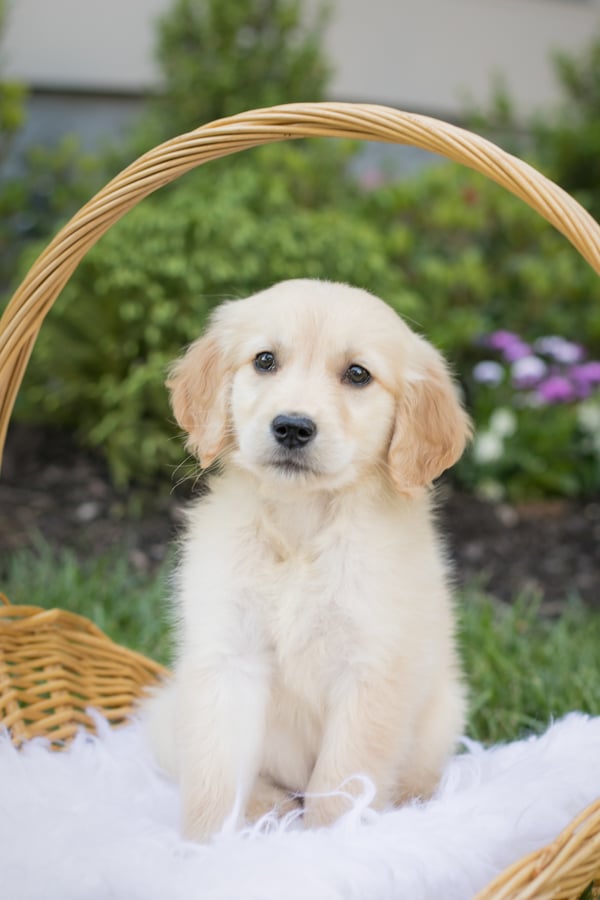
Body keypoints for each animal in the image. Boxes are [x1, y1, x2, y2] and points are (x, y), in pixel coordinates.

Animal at [143, 278, 472, 840]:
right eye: (265, 360)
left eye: (357, 374)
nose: (293, 427)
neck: (301, 525)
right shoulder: (226, 659)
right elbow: (213, 780)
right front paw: (206, 848)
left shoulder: (371, 669)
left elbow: (342, 787)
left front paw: (324, 847)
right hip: (170, 717)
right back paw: (268, 809)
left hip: (445, 710)